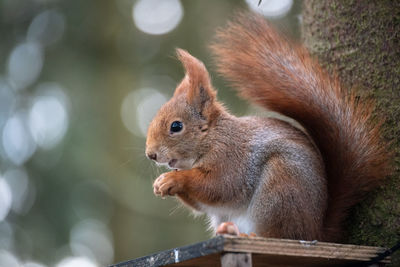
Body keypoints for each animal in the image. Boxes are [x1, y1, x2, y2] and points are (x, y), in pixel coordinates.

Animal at [145, 12, 390, 243]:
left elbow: (219, 186)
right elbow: (202, 203)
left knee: (279, 235)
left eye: (176, 126)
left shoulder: (232, 158)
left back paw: (250, 236)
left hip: (280, 190)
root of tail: (316, 232)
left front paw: (173, 179)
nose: (150, 154)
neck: (212, 137)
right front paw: (160, 183)